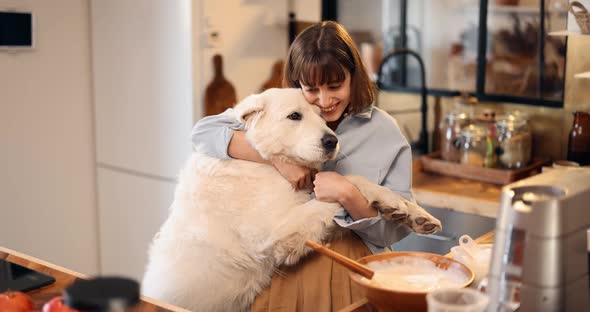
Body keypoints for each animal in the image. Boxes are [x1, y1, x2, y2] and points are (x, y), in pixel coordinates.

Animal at [142, 88, 440, 312]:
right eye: (294, 116)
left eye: (322, 115)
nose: (332, 141)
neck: (265, 162)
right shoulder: (277, 236)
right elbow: (345, 185)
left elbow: (357, 184)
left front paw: (409, 211)